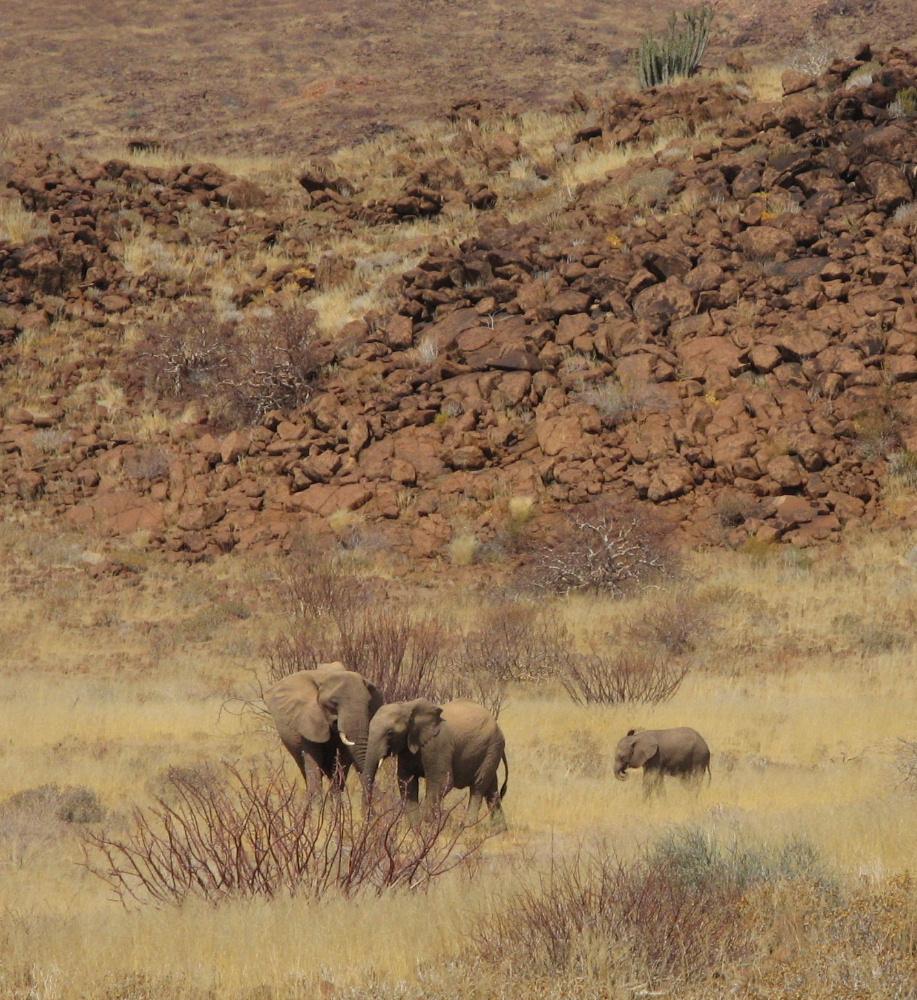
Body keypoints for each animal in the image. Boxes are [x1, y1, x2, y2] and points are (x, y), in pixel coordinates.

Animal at [364, 696, 508, 828]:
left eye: (390, 733)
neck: (407, 706)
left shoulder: (436, 745)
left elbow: (442, 781)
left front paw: (429, 826)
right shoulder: (407, 748)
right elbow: (406, 782)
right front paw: (417, 829)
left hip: (491, 748)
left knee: (478, 786)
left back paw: (467, 827)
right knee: (491, 788)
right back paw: (499, 830)